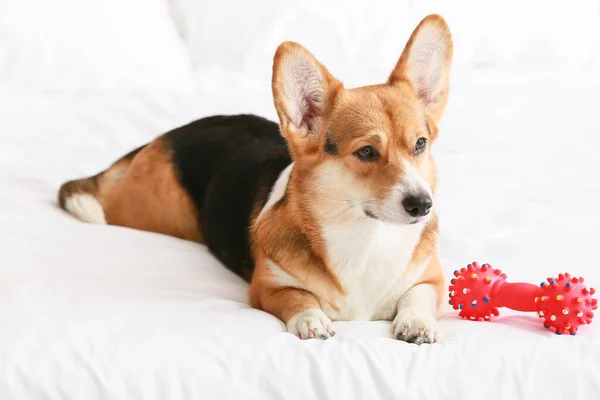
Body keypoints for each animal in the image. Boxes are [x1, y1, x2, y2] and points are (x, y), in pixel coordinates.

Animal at [58, 14, 452, 344]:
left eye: (420, 144)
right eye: (367, 152)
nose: (422, 205)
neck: (365, 240)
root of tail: (168, 134)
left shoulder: (431, 279)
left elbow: (417, 297)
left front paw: (416, 323)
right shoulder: (266, 288)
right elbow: (298, 297)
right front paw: (311, 319)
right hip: (148, 212)